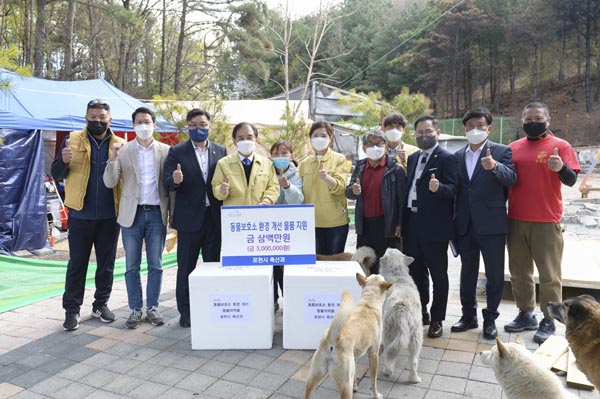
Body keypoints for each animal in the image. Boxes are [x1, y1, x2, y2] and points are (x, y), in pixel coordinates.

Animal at [380, 248, 422, 382]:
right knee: (414, 361)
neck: (397, 274)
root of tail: (402, 310)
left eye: (388, 250)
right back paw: (414, 379)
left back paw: (387, 371)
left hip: (388, 332)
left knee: (388, 353)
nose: (388, 246)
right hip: (416, 336)